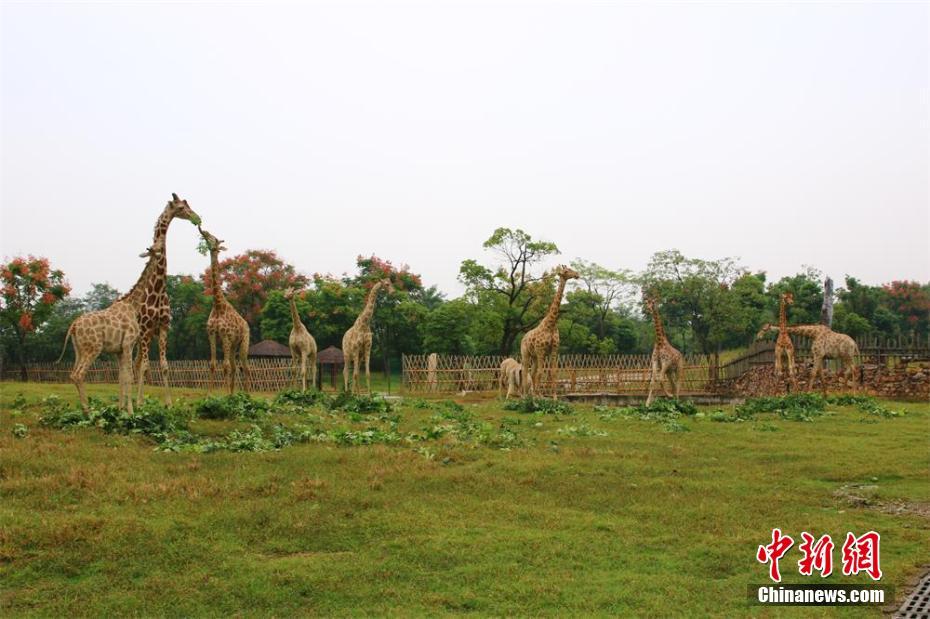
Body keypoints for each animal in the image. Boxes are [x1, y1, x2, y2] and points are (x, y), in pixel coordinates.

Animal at [56, 237, 166, 416]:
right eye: (155, 246)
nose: (162, 245)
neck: (133, 304)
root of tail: (73, 326)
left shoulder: (118, 350)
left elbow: (121, 377)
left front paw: (120, 409)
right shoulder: (128, 344)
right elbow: (129, 376)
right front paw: (131, 412)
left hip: (79, 349)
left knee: (72, 374)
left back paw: (84, 411)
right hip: (93, 348)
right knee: (79, 374)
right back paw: (88, 412)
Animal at [132, 194, 199, 406]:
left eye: (187, 204)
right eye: (181, 207)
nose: (196, 217)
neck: (159, 288)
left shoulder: (162, 327)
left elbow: (163, 365)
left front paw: (168, 403)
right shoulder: (145, 330)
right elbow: (146, 366)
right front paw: (139, 404)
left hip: (141, 339)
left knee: (136, 363)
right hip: (135, 337)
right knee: (134, 364)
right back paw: (135, 400)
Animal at [199, 226, 250, 392]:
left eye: (215, 238)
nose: (204, 231)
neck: (218, 305)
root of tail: (247, 325)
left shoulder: (226, 335)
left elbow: (225, 366)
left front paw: (225, 394)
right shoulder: (212, 334)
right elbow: (213, 364)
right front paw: (210, 394)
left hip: (244, 342)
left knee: (245, 367)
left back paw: (247, 394)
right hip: (234, 345)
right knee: (235, 367)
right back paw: (234, 393)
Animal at [520, 266, 576, 398]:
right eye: (566, 271)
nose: (577, 274)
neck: (551, 324)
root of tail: (523, 337)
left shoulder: (553, 350)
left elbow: (553, 371)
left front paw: (553, 397)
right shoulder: (541, 351)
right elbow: (541, 372)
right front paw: (538, 396)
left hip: (534, 356)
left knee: (533, 372)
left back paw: (532, 394)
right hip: (526, 353)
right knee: (525, 370)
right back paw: (524, 395)